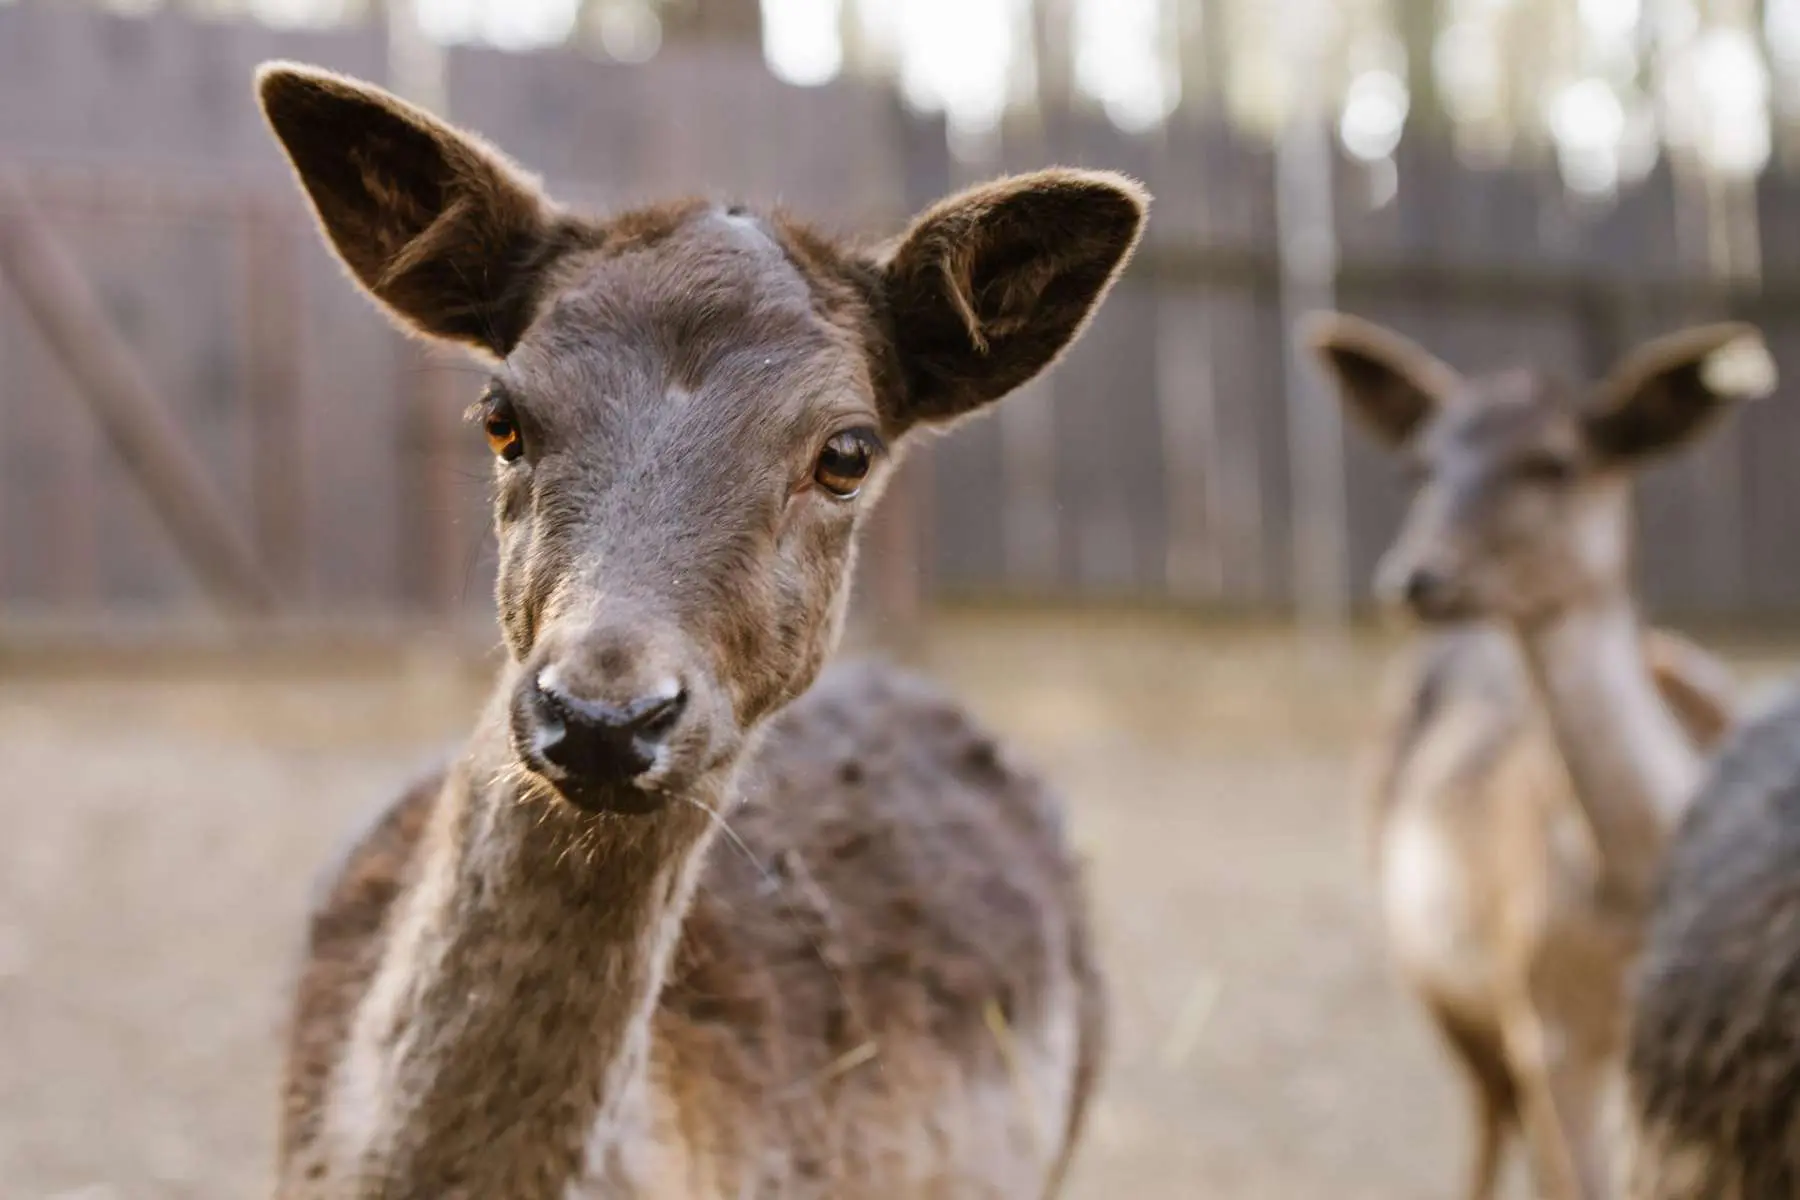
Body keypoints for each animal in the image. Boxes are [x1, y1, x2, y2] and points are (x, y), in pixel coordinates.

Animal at [1306, 313, 1774, 1200]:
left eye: (1556, 461)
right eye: (1420, 466)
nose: (1418, 576)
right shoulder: (1546, 1018)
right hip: (1441, 979)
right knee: (1492, 1118)